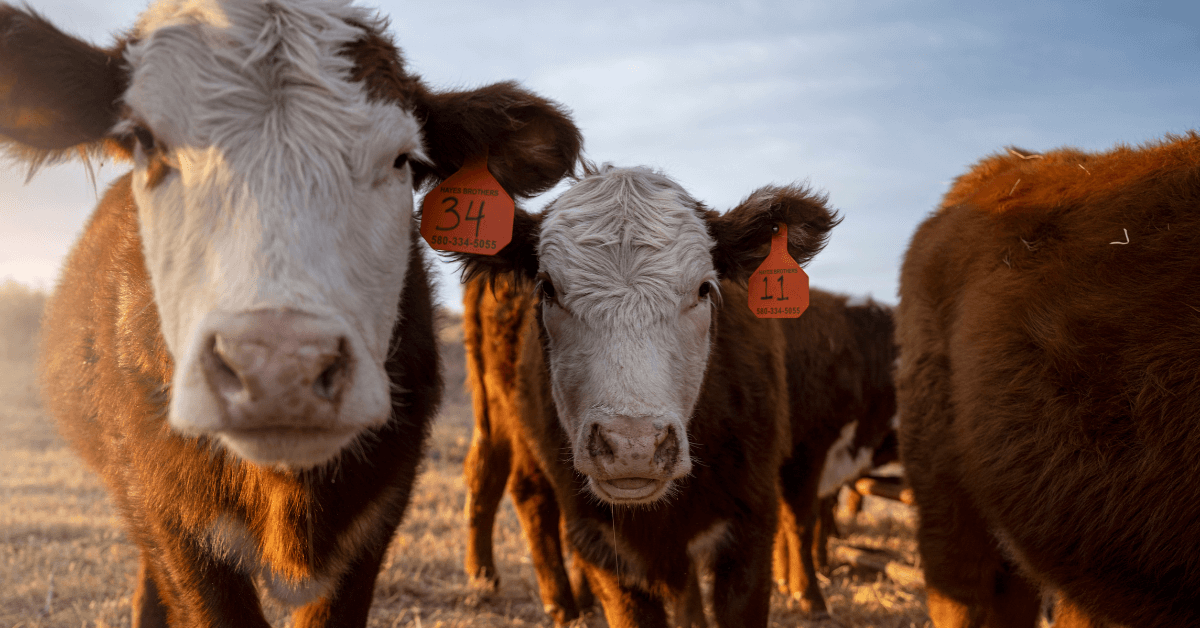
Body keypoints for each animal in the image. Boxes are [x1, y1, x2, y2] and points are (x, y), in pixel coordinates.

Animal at [452, 164, 838, 628]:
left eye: (705, 288)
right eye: (546, 288)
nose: (632, 445)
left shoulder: (752, 522)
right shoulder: (601, 540)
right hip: (499, 412)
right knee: (516, 487)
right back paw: (543, 598)